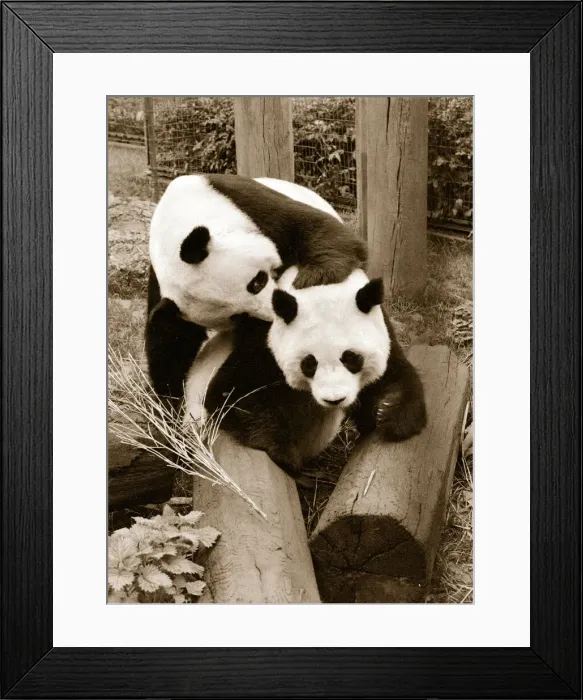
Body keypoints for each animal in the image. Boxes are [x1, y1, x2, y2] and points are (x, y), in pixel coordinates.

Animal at [146, 174, 366, 403]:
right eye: (237, 316)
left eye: (256, 282)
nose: (272, 314)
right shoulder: (162, 282)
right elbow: (171, 336)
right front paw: (167, 399)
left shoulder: (246, 203)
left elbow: (320, 230)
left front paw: (314, 276)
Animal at [184, 268, 426, 478]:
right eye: (309, 363)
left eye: (351, 358)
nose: (334, 399)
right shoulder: (263, 343)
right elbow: (229, 394)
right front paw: (284, 454)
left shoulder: (382, 329)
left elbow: (394, 375)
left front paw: (388, 411)